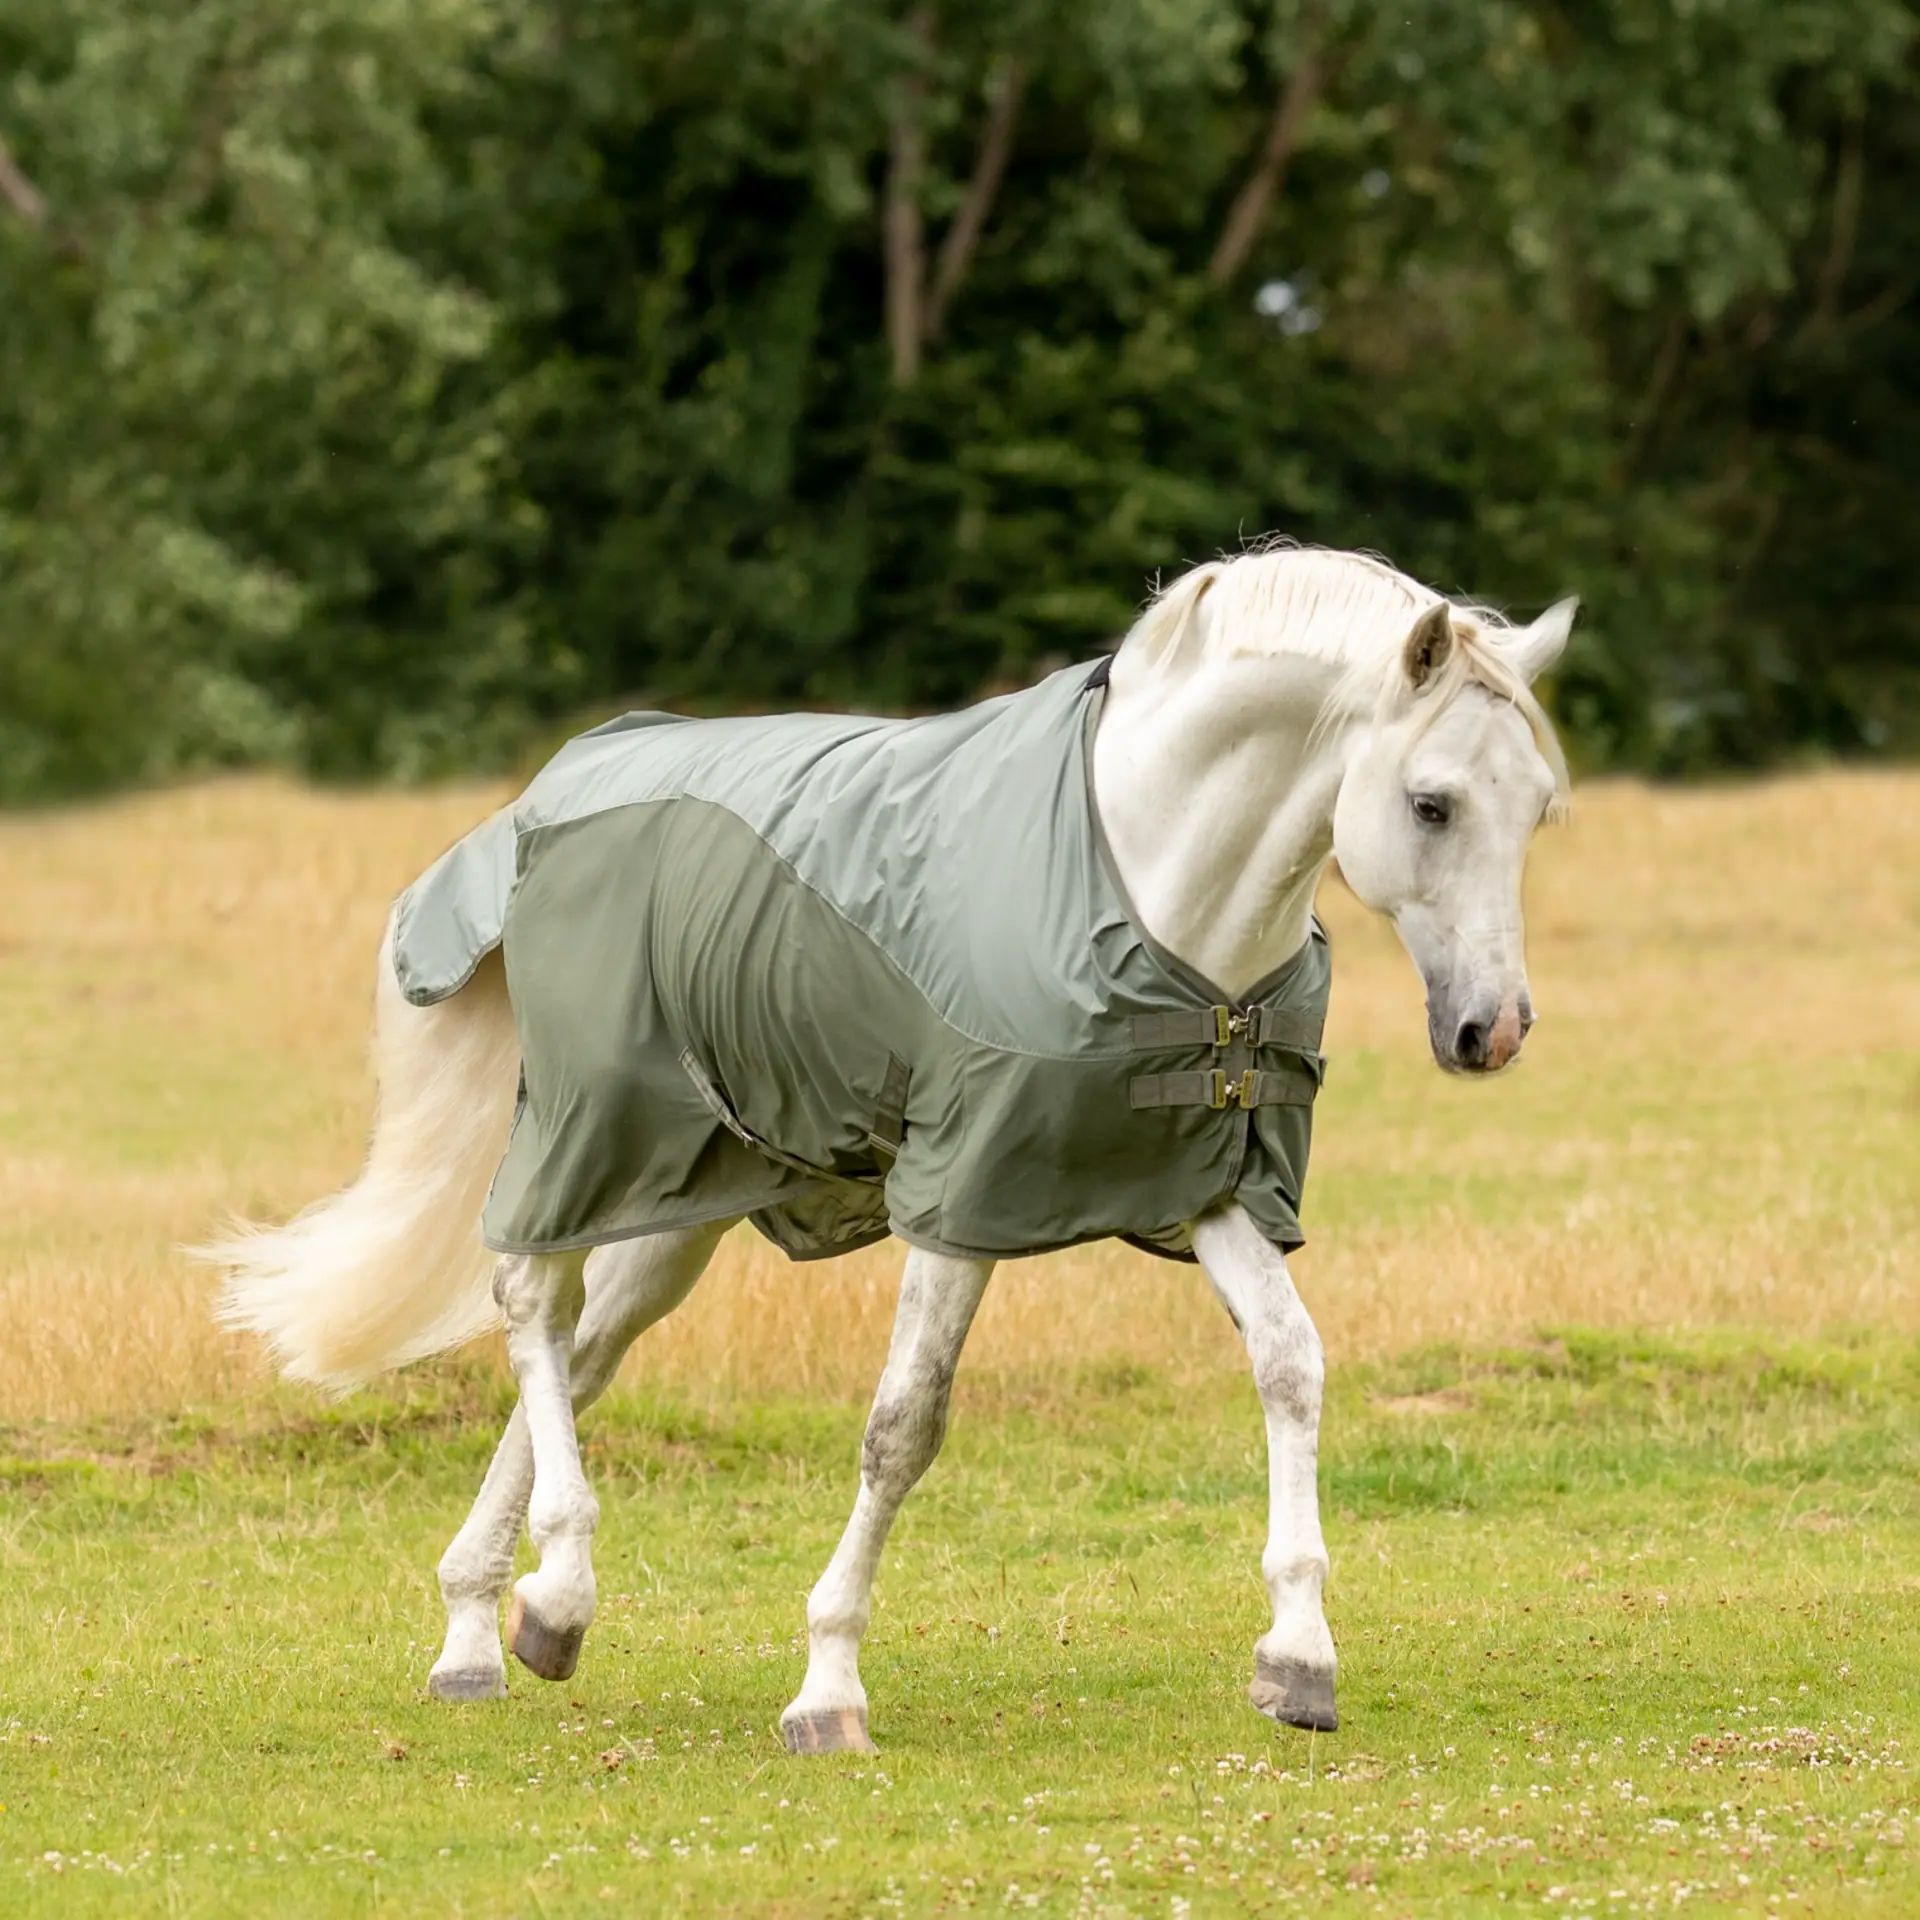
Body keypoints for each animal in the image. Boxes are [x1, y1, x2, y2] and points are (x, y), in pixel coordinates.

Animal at [203, 544, 1575, 1753]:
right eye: (1431, 804)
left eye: (1539, 812)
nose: (1494, 1031)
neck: (1152, 888)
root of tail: (543, 802)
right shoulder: (962, 1195)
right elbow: (903, 1426)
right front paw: (828, 1689)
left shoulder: (1215, 1186)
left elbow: (1292, 1365)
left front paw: (1298, 1657)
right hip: (597, 1134)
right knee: (532, 1306)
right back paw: (559, 1589)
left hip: (682, 1204)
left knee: (584, 1355)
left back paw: (486, 1631)